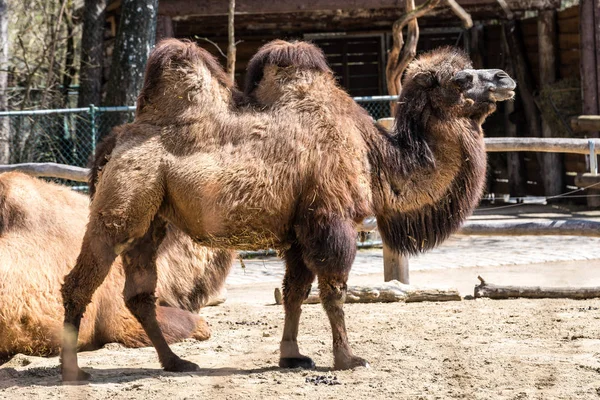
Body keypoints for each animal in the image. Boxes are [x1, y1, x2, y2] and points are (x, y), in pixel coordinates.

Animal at [58, 38, 512, 382]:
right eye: (462, 78)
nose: (505, 78)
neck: (376, 154)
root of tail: (114, 139)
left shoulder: (299, 230)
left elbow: (295, 293)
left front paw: (292, 356)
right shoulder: (331, 219)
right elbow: (333, 291)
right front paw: (348, 359)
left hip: (152, 219)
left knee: (139, 293)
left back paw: (177, 362)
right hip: (123, 204)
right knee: (80, 280)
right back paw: (73, 371)